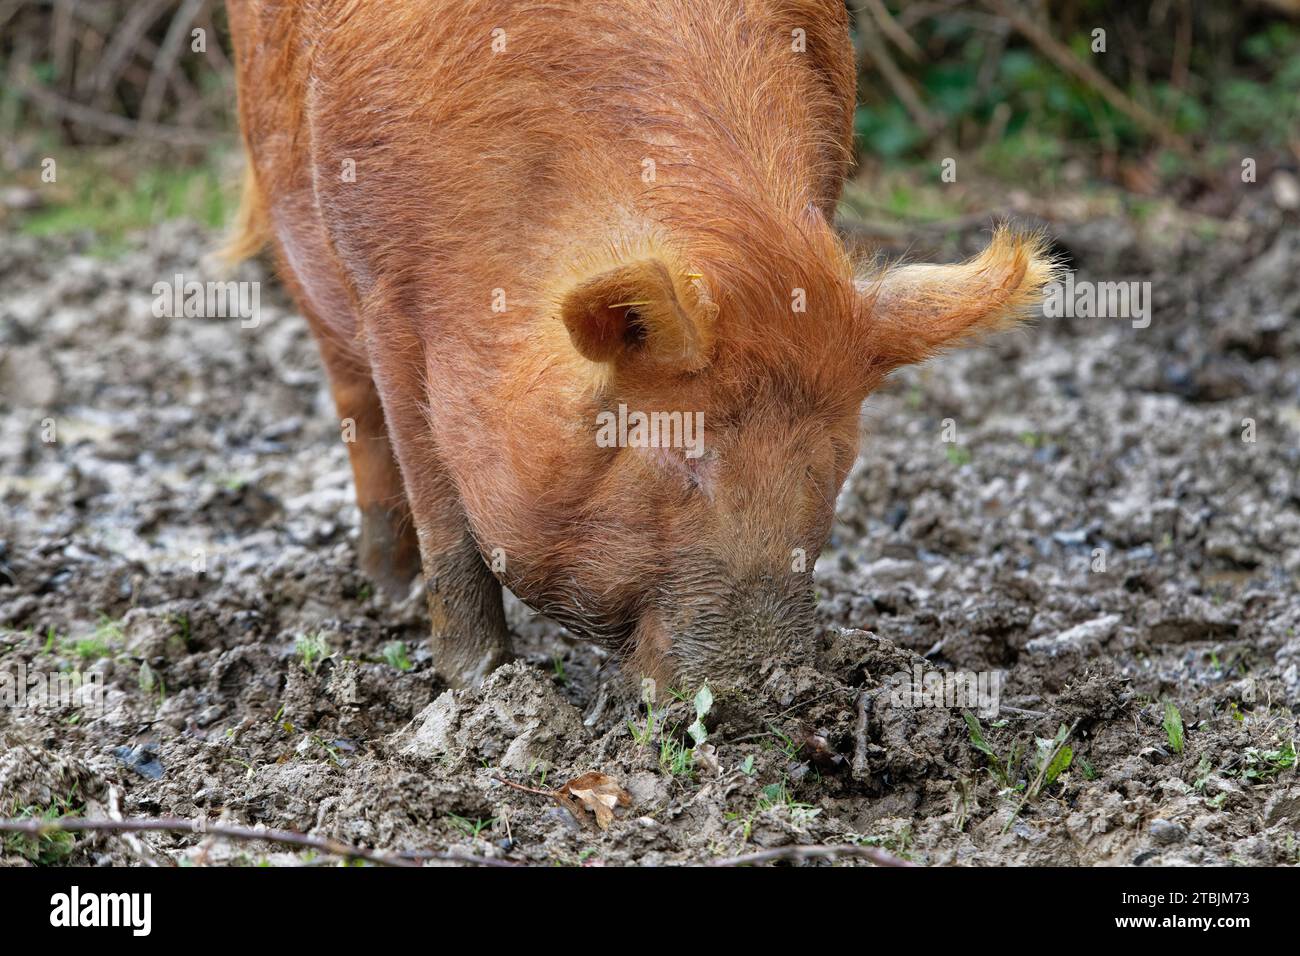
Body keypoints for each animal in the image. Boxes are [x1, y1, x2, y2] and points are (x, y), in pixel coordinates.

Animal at [226, 0, 1055, 686]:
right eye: (682, 458)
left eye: (831, 465)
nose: (760, 695)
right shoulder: (390, 292)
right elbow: (440, 505)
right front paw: (477, 684)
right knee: (352, 400)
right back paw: (386, 590)